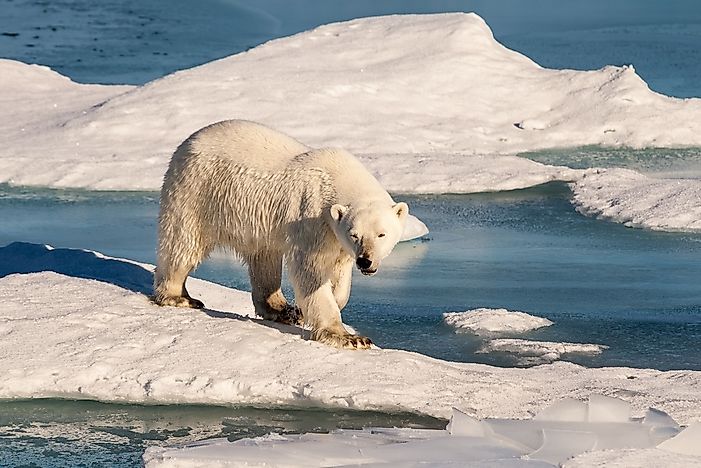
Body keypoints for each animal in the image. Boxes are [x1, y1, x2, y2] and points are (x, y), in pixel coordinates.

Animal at [153, 119, 404, 350]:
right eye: (355, 234)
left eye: (381, 234)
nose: (365, 261)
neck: (337, 178)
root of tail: (189, 141)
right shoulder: (312, 219)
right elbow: (311, 272)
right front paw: (348, 337)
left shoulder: (335, 238)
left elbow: (340, 274)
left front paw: (316, 305)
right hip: (197, 190)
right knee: (183, 243)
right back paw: (179, 296)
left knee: (265, 258)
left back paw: (282, 309)